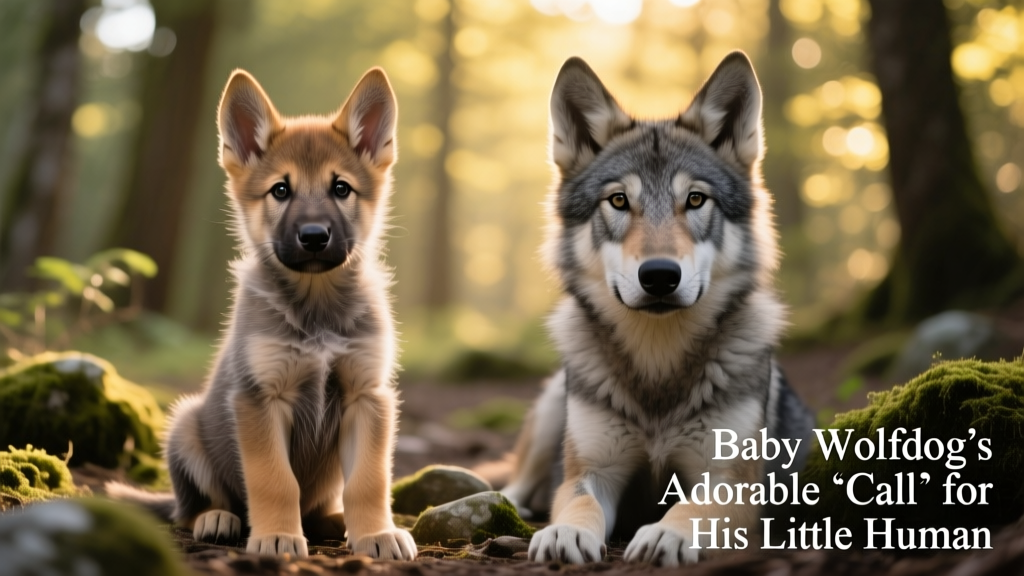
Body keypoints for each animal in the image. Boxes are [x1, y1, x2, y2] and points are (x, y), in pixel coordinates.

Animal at [108, 68, 416, 560]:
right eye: (280, 190)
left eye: (341, 188)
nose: (314, 236)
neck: (316, 308)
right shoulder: (259, 399)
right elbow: (275, 480)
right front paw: (277, 536)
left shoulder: (367, 396)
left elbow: (369, 480)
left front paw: (377, 534)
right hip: (185, 424)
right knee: (190, 508)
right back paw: (218, 519)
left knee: (322, 504)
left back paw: (333, 521)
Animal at [499, 52, 814, 566]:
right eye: (619, 200)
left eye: (695, 199)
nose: (661, 275)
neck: (657, 364)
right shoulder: (593, 470)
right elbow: (579, 501)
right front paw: (566, 532)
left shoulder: (733, 483)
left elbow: (691, 508)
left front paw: (668, 533)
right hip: (551, 407)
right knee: (516, 480)